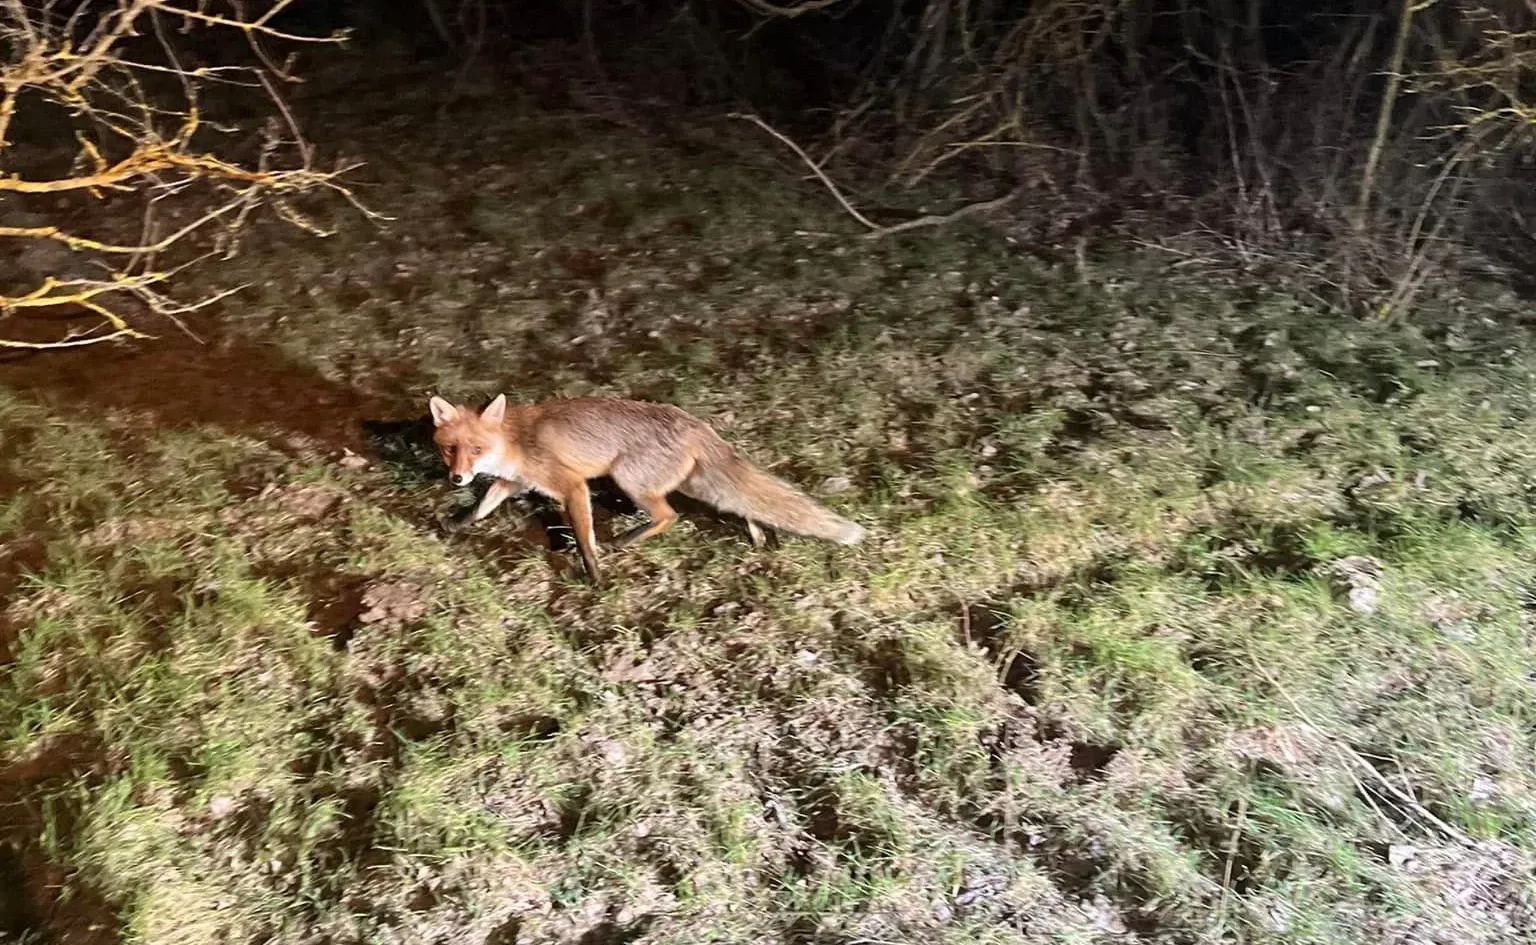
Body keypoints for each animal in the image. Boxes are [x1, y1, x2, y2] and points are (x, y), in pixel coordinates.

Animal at [427, 393, 872, 583]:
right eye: (451, 450)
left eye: (476, 449)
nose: (457, 478)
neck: (516, 441)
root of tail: (695, 423)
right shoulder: (513, 481)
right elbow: (483, 506)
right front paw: (457, 523)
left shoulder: (571, 484)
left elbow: (584, 536)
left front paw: (594, 573)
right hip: (697, 484)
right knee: (743, 503)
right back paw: (758, 536)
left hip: (631, 481)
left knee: (668, 516)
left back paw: (626, 540)